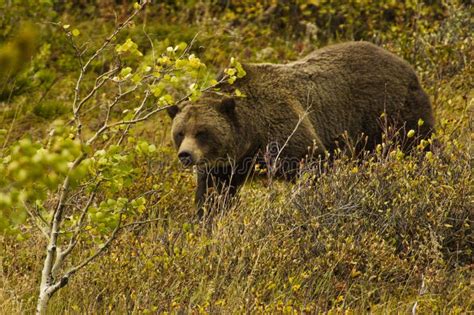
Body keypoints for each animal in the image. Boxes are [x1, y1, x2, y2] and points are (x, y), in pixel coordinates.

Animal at [166, 40, 434, 217]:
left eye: (202, 132)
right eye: (180, 133)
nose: (186, 155)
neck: (251, 134)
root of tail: (405, 64)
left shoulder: (282, 130)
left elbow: (314, 163)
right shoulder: (224, 166)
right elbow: (213, 194)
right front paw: (206, 220)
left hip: (393, 116)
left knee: (420, 150)